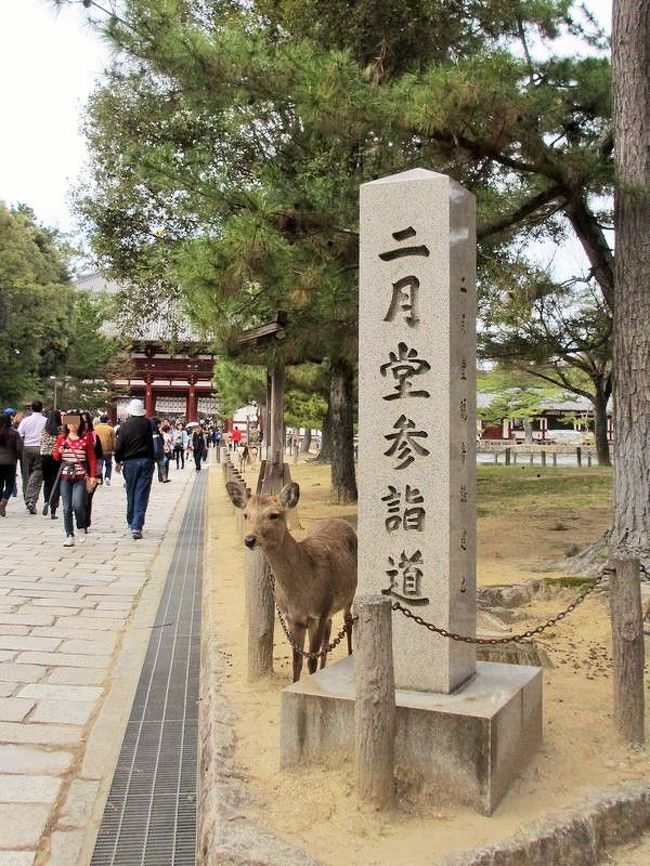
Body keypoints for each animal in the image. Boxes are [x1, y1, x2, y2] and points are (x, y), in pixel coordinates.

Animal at [225, 480, 357, 682]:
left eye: (274, 514)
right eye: (246, 514)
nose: (249, 539)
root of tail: (342, 521)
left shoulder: (318, 613)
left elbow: (310, 661)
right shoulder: (293, 619)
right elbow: (297, 662)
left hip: (350, 594)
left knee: (348, 622)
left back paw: (350, 653)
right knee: (329, 631)